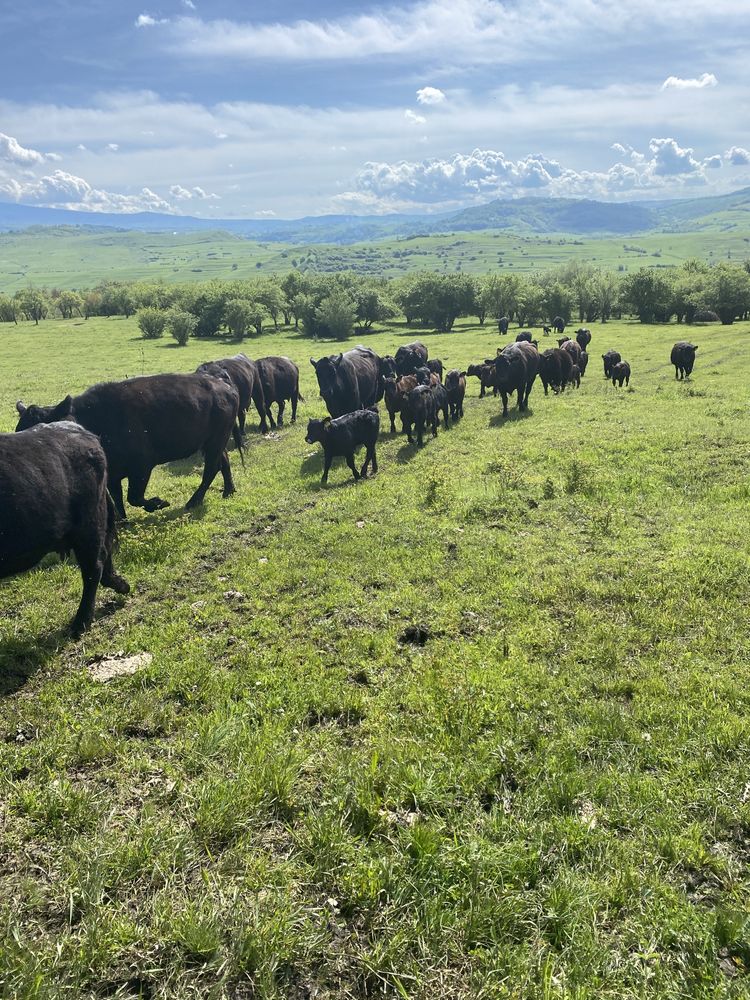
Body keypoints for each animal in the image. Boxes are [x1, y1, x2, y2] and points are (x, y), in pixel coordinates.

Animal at [16, 374, 239, 516]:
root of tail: (225, 386)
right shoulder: (112, 474)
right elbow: (118, 498)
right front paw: (122, 520)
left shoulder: (142, 467)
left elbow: (134, 497)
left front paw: (159, 503)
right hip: (214, 442)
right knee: (224, 462)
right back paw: (228, 491)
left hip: (215, 441)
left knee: (211, 468)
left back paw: (193, 501)